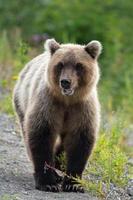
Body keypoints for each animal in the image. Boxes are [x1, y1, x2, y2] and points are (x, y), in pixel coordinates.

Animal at [12, 38, 102, 193]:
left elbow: (80, 140)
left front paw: (73, 184)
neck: (67, 101)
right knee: (28, 137)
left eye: (79, 65)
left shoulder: (82, 109)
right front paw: (48, 183)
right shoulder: (48, 104)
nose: (65, 82)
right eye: (60, 64)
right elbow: (42, 136)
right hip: (21, 101)